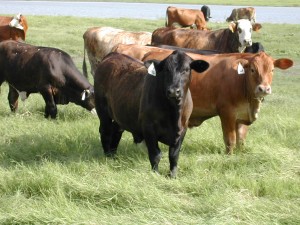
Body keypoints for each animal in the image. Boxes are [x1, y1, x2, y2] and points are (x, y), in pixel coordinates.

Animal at [142, 49, 292, 155]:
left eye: (272, 70)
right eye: (253, 69)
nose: (264, 88)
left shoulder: (242, 115)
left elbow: (241, 140)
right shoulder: (227, 112)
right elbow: (230, 140)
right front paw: (229, 157)